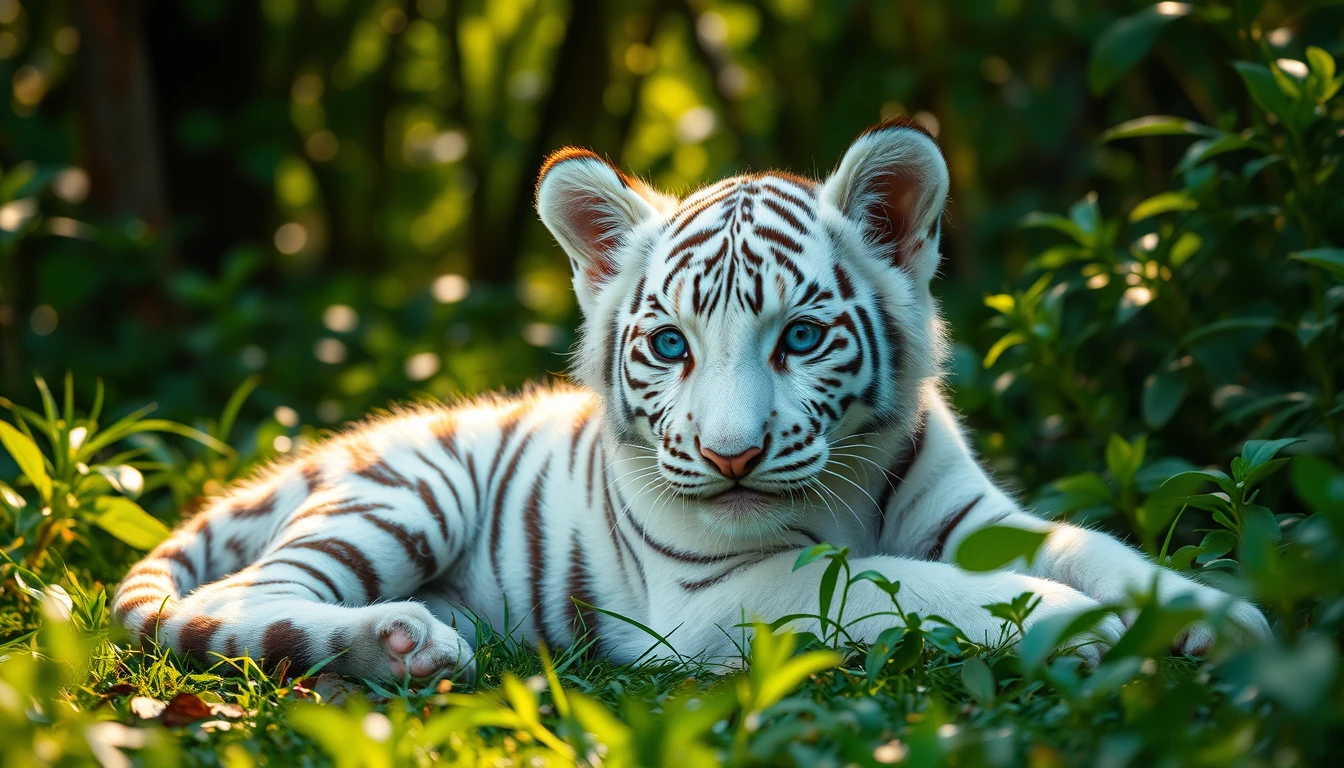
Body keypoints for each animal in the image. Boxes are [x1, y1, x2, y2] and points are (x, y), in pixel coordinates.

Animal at [112, 118, 1271, 683]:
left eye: (800, 336)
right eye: (669, 344)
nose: (729, 458)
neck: (849, 489)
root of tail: (343, 448)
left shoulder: (976, 516)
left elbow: (1095, 548)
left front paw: (1220, 617)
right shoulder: (720, 594)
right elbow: (918, 585)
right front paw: (1080, 629)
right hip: (403, 500)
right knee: (237, 600)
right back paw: (398, 646)